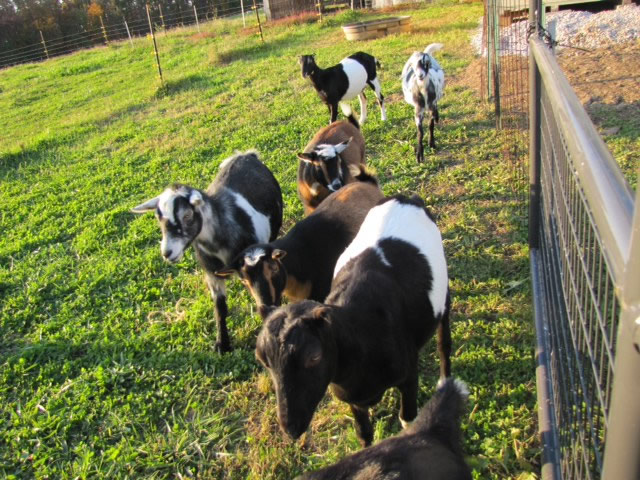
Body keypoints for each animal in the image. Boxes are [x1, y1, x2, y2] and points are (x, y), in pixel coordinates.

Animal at [131, 151, 283, 353]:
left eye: (187, 215)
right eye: (158, 218)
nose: (167, 252)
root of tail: (245, 154)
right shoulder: (212, 275)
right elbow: (220, 309)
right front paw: (222, 344)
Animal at [255, 194, 452, 447]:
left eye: (314, 356)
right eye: (263, 360)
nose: (290, 428)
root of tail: (405, 198)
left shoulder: (409, 375)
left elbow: (408, 419)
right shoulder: (352, 398)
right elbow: (363, 432)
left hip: (443, 294)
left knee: (444, 341)